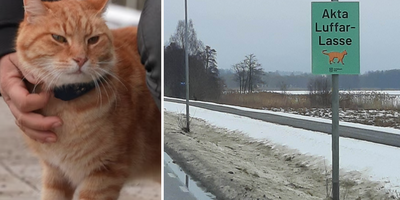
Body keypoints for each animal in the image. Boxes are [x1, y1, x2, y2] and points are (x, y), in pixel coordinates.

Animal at [16, 0, 159, 198]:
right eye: (58, 38)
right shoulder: (55, 171)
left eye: (93, 40)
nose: (81, 59)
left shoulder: (106, 173)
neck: (67, 107)